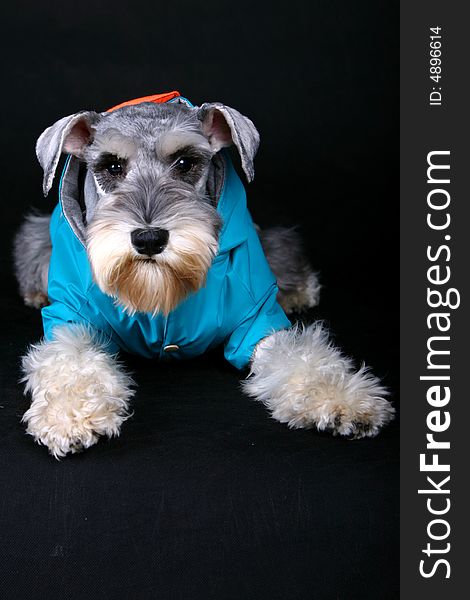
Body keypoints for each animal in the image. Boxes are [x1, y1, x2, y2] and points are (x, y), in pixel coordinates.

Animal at [13, 91, 392, 458]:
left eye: (185, 163)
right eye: (112, 166)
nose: (149, 239)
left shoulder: (256, 319)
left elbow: (301, 355)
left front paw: (345, 399)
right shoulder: (73, 318)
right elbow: (70, 361)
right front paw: (70, 415)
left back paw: (299, 291)